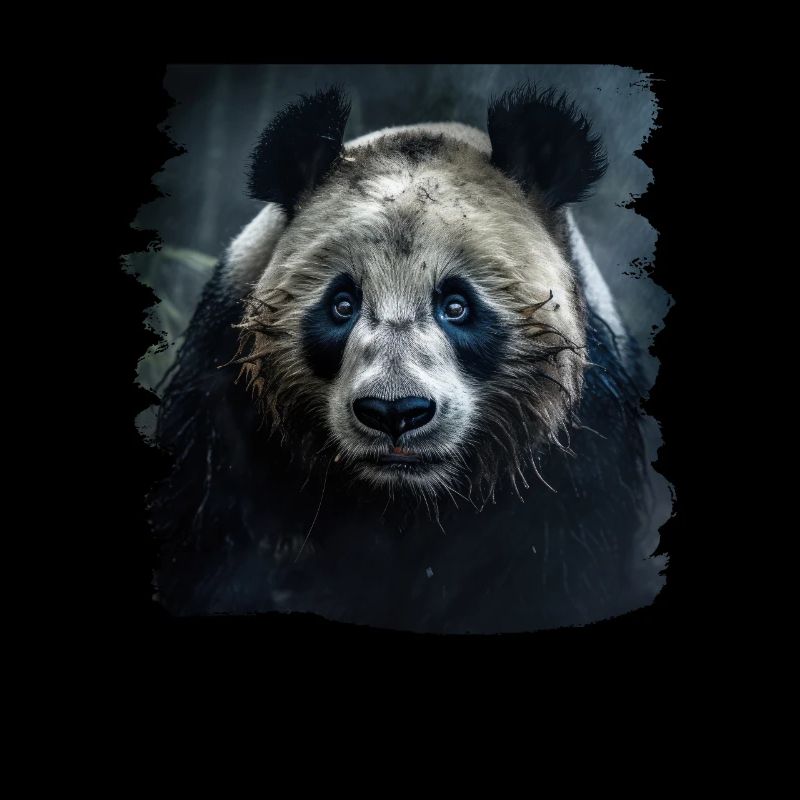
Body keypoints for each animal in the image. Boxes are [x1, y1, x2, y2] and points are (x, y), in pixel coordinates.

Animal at [149, 84, 663, 633]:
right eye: (343, 304)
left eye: (456, 305)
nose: (394, 413)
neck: (403, 498)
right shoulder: (221, 410)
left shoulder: (582, 448)